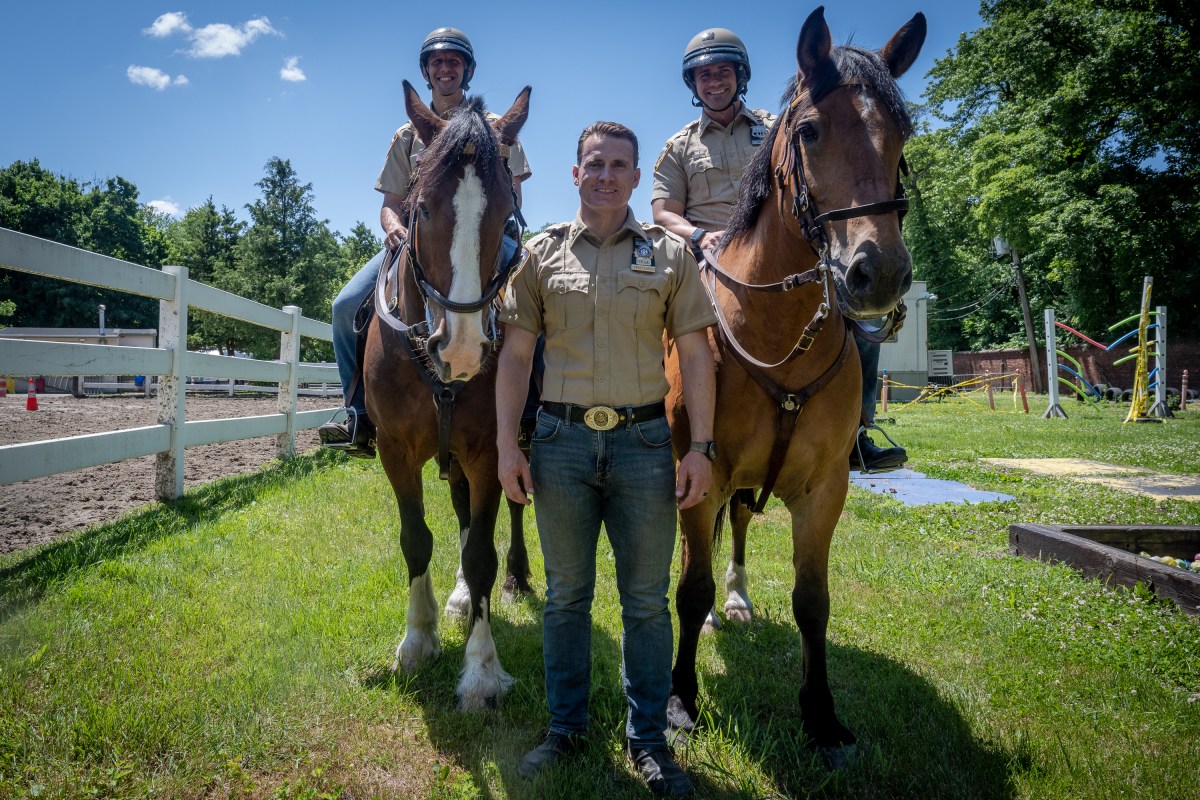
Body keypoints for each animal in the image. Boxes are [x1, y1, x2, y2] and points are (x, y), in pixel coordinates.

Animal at [364, 77, 530, 710]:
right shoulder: (394, 450)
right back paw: (457, 598)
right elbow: (417, 540)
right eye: (421, 207)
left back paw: (516, 577)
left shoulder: (487, 451)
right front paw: (417, 642)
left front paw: (481, 672)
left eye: (507, 217)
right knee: (458, 514)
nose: (459, 350)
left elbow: (481, 552)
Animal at [662, 7, 921, 767]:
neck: (775, 335)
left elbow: (814, 602)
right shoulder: (701, 475)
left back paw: (739, 601)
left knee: (741, 530)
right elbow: (688, 588)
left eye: (903, 134)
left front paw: (823, 716)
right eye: (809, 130)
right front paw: (680, 701)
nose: (878, 272)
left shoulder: (824, 487)